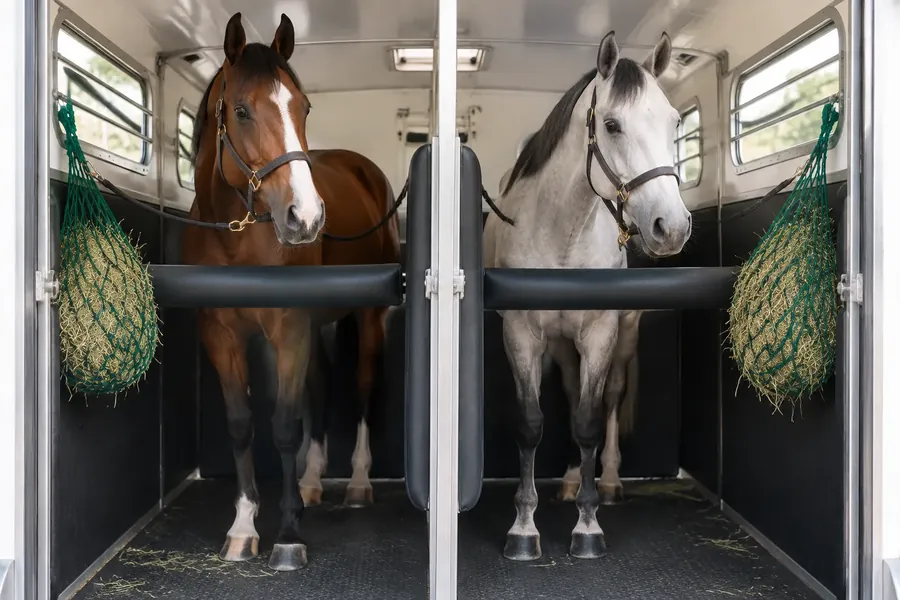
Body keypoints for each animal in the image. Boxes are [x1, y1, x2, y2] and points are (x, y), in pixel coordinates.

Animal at [181, 12, 401, 571]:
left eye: (303, 107)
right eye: (240, 110)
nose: (305, 218)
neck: (235, 238)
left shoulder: (289, 327)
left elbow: (283, 424)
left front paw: (287, 533)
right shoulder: (220, 335)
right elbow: (242, 424)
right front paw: (243, 527)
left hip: (365, 319)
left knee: (360, 388)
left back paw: (358, 483)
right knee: (320, 386)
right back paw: (311, 481)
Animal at [483, 30, 691, 561]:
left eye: (675, 122)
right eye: (612, 125)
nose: (672, 228)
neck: (564, 231)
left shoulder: (600, 332)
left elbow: (591, 421)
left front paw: (589, 526)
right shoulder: (523, 335)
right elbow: (532, 422)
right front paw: (524, 527)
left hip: (623, 334)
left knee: (608, 398)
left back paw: (610, 481)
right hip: (561, 343)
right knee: (575, 391)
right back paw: (575, 477)